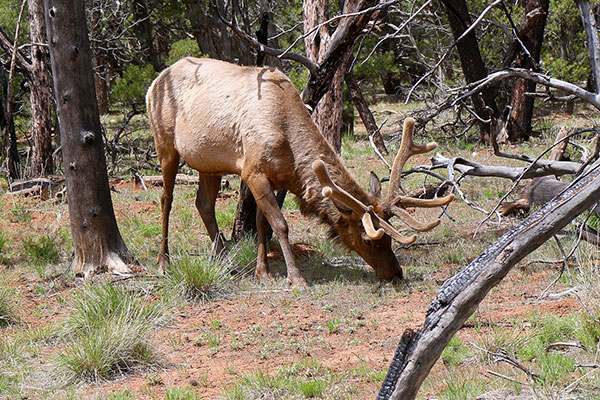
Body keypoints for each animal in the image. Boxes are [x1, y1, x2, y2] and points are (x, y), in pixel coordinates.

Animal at [146, 57, 454, 288]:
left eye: (389, 237)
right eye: (369, 239)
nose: (396, 273)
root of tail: (155, 81)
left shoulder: (274, 178)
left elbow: (262, 223)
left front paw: (264, 272)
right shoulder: (253, 171)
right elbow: (280, 224)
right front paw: (295, 278)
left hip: (208, 161)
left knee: (203, 203)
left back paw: (224, 259)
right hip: (164, 143)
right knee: (166, 199)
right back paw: (163, 262)